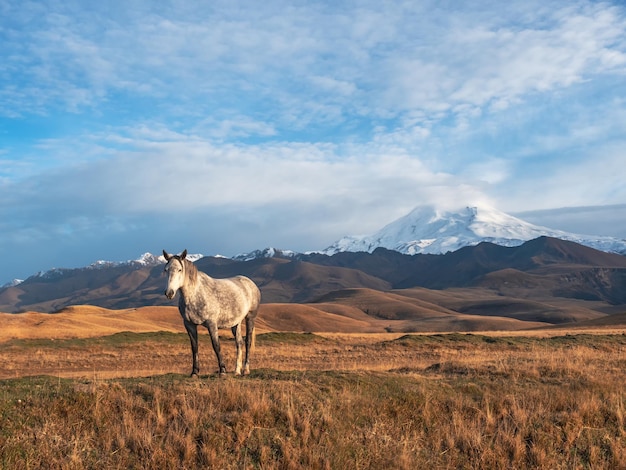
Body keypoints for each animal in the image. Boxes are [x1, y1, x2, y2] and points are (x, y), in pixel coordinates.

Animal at [162, 250, 260, 378]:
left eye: (179, 269)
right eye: (166, 269)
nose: (169, 293)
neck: (195, 294)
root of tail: (250, 283)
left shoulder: (211, 323)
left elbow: (216, 345)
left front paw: (222, 371)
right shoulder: (189, 325)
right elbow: (194, 347)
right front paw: (194, 372)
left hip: (250, 317)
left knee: (248, 341)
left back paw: (246, 370)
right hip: (236, 323)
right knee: (239, 342)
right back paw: (237, 371)